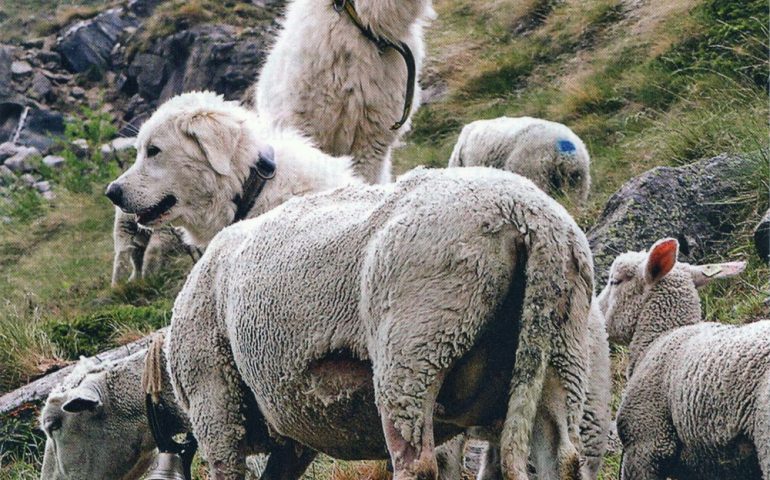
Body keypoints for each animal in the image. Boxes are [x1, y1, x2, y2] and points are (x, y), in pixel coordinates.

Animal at [165, 163, 592, 478]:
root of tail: (524, 214)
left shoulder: (213, 399)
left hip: (416, 344)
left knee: (416, 461)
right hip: (561, 346)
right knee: (562, 455)